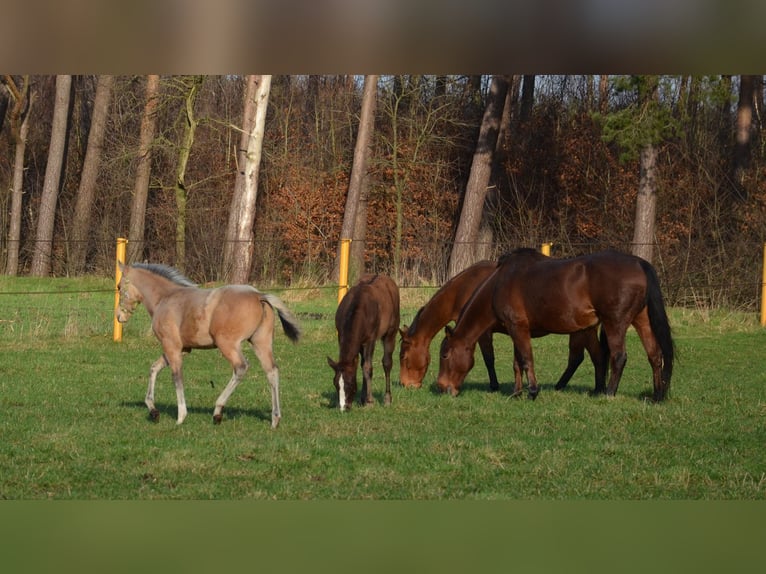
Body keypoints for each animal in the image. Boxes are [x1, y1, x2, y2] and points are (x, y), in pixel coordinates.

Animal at [115, 264, 302, 428]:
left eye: (119, 287)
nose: (119, 316)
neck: (165, 298)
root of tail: (258, 295)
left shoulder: (171, 346)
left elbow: (176, 377)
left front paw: (181, 416)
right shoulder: (182, 349)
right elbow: (154, 368)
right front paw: (153, 411)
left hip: (227, 344)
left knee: (241, 367)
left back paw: (218, 411)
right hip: (260, 343)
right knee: (272, 372)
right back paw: (275, 419)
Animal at [328, 276, 402, 412]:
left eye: (350, 383)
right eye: (335, 384)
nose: (343, 407)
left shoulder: (370, 340)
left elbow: (368, 367)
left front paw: (370, 401)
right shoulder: (344, 337)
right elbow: (362, 366)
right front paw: (363, 399)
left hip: (390, 334)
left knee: (387, 363)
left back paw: (387, 398)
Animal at [400, 262, 604, 394]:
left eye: (403, 357)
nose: (405, 385)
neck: (466, 287)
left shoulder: (482, 333)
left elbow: (489, 358)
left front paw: (494, 385)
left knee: (586, 357)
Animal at [440, 250, 676, 402]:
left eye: (444, 355)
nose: (442, 388)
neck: (499, 283)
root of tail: (640, 264)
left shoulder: (518, 328)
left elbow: (526, 360)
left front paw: (533, 392)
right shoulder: (516, 329)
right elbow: (517, 363)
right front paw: (516, 393)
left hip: (615, 323)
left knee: (618, 357)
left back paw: (608, 393)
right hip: (641, 320)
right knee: (655, 356)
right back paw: (656, 396)